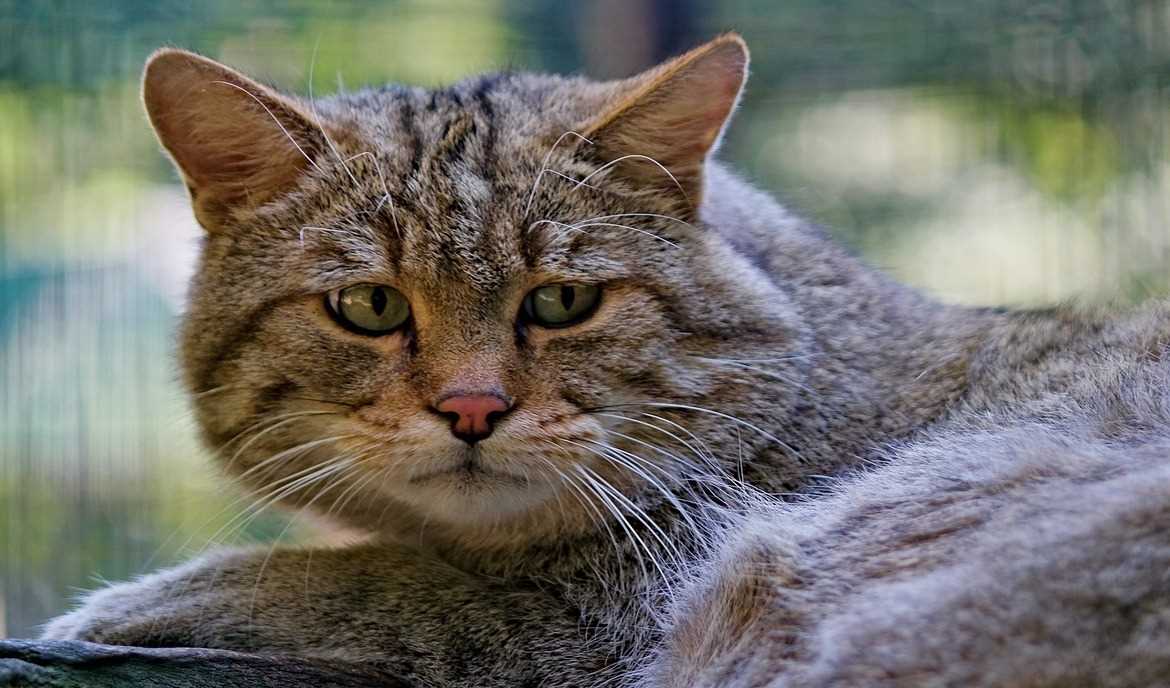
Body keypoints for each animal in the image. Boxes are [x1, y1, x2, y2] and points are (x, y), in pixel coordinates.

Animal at [38, 34, 1170, 688]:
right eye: (368, 306)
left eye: (562, 301)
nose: (472, 408)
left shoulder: (596, 618)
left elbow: (365, 580)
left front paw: (133, 603)